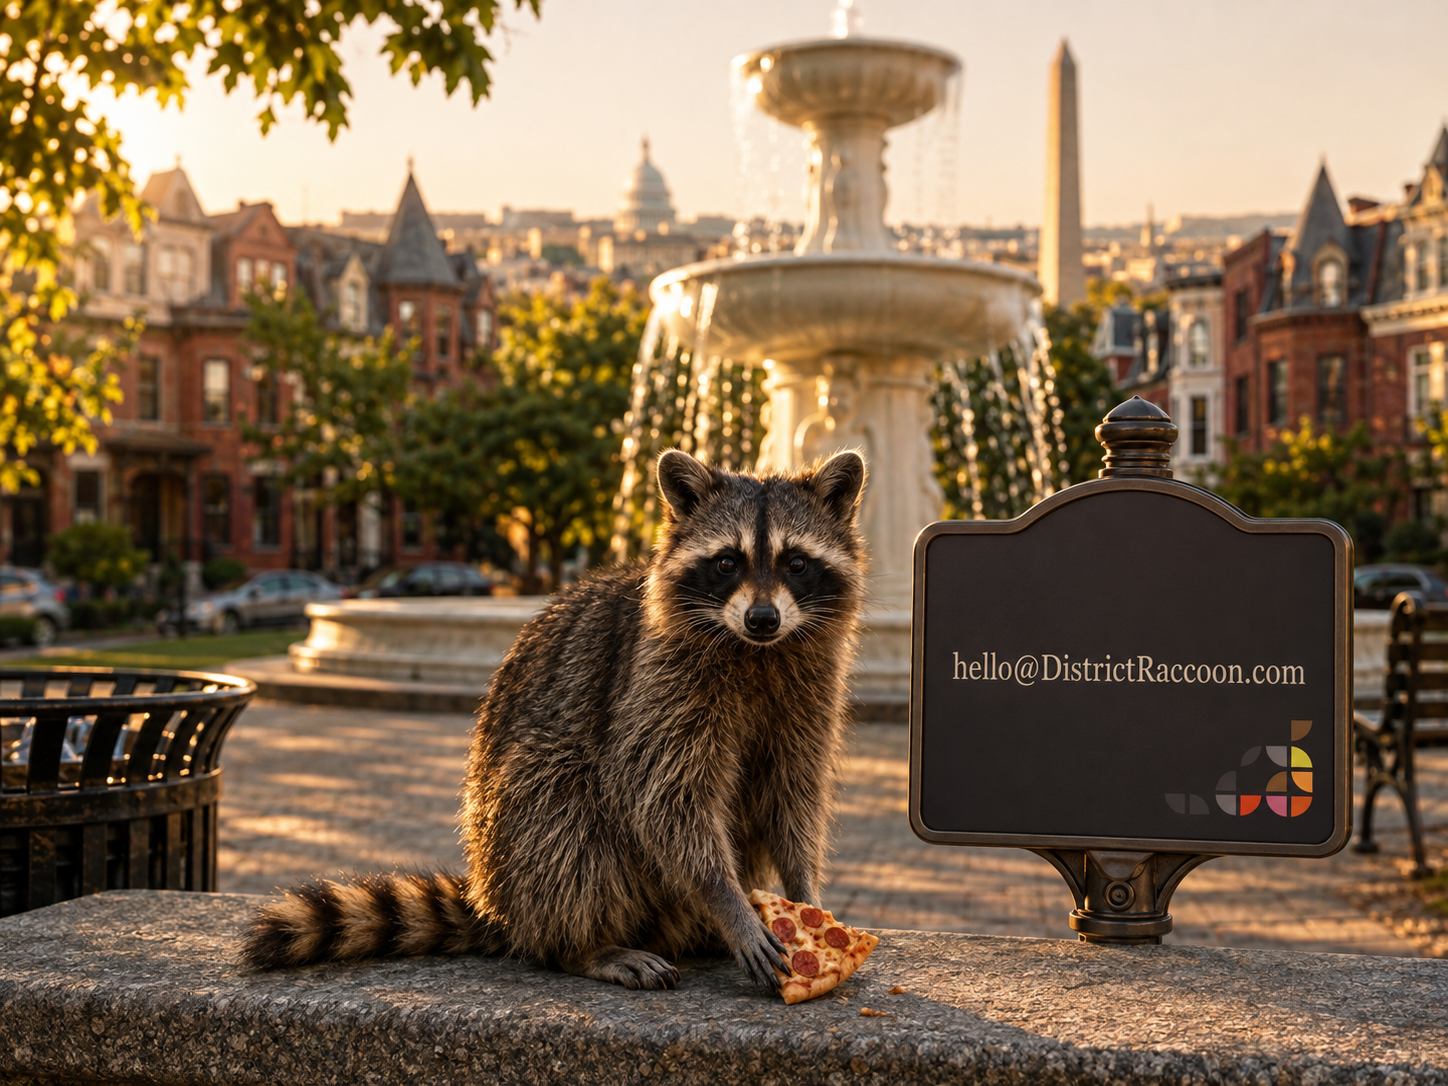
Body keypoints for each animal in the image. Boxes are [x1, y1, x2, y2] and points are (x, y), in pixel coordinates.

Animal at [243, 449, 867, 992]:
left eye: (796, 563)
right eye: (726, 562)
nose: (763, 617)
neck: (757, 652)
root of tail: (497, 907)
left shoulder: (809, 690)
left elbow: (792, 792)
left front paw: (804, 893)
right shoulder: (654, 684)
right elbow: (662, 797)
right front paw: (728, 900)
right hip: (525, 818)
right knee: (560, 807)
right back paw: (584, 945)